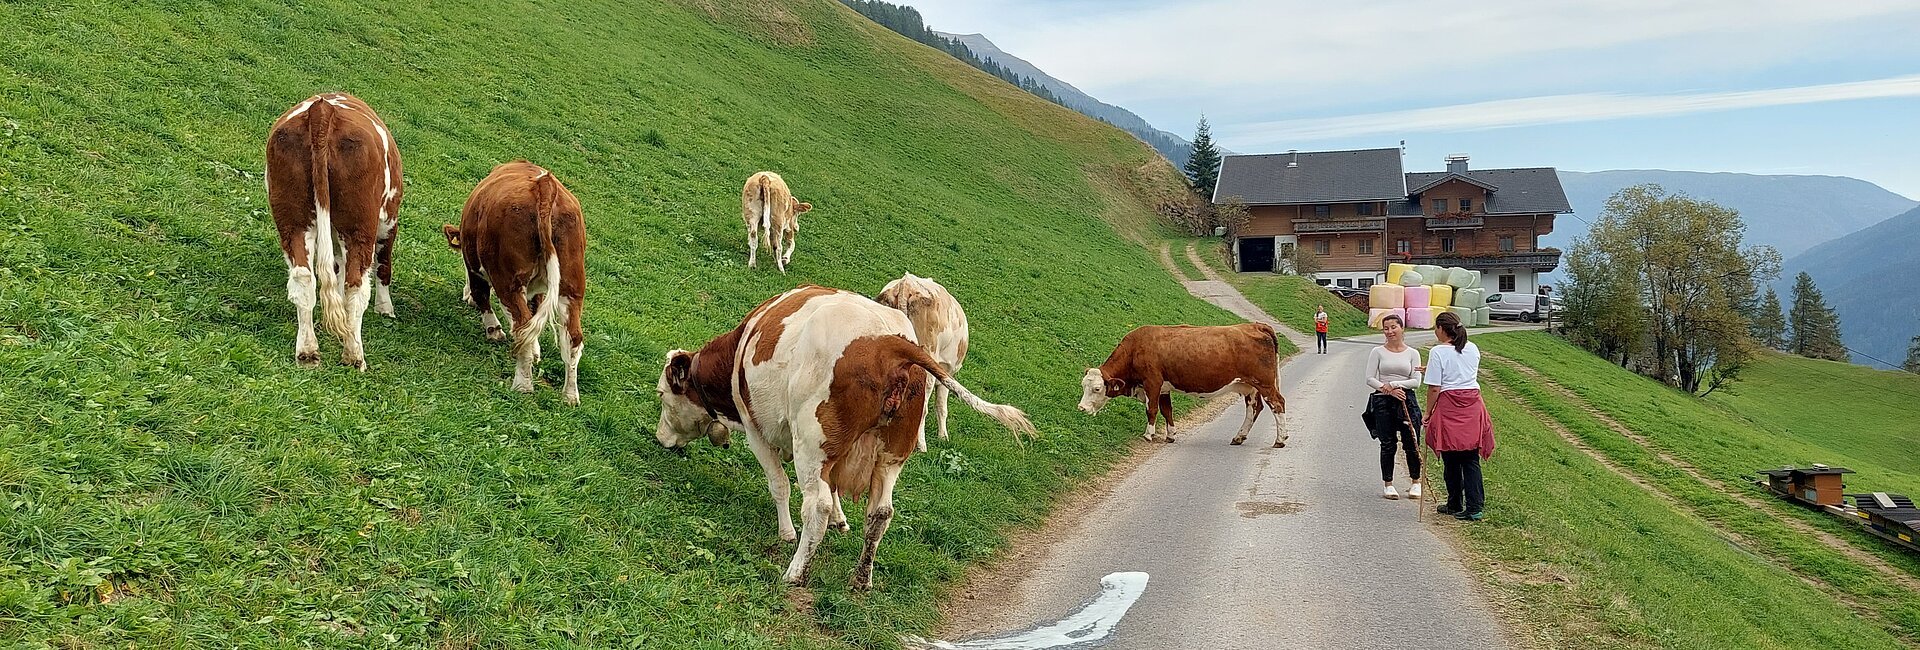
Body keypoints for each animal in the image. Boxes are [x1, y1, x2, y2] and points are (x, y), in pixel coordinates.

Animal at [265, 92, 403, 370]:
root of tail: (323, 109)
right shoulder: (388, 222)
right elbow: (383, 266)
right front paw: (385, 308)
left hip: (293, 220)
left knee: (304, 278)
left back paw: (307, 351)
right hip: (360, 227)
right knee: (356, 285)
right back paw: (354, 355)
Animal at [440, 161, 588, 405]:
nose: (464, 296)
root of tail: (545, 185)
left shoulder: (474, 266)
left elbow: (482, 294)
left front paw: (494, 331)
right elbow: (536, 310)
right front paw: (537, 352)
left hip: (508, 280)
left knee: (521, 326)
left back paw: (523, 385)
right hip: (572, 286)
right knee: (572, 338)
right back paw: (570, 396)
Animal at [874, 273, 969, 452]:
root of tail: (907, 282)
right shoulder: (947, 372)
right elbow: (941, 406)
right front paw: (943, 437)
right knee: (922, 407)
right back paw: (921, 445)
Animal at [1078, 323, 1287, 447]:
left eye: (1097, 389)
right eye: (1083, 386)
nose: (1081, 408)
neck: (1135, 349)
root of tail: (1256, 325)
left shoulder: (1152, 382)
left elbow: (1152, 410)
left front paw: (1149, 434)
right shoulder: (1163, 388)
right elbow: (1167, 410)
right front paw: (1170, 435)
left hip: (1264, 383)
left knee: (1277, 404)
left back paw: (1280, 439)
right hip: (1249, 386)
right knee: (1254, 408)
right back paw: (1239, 437)